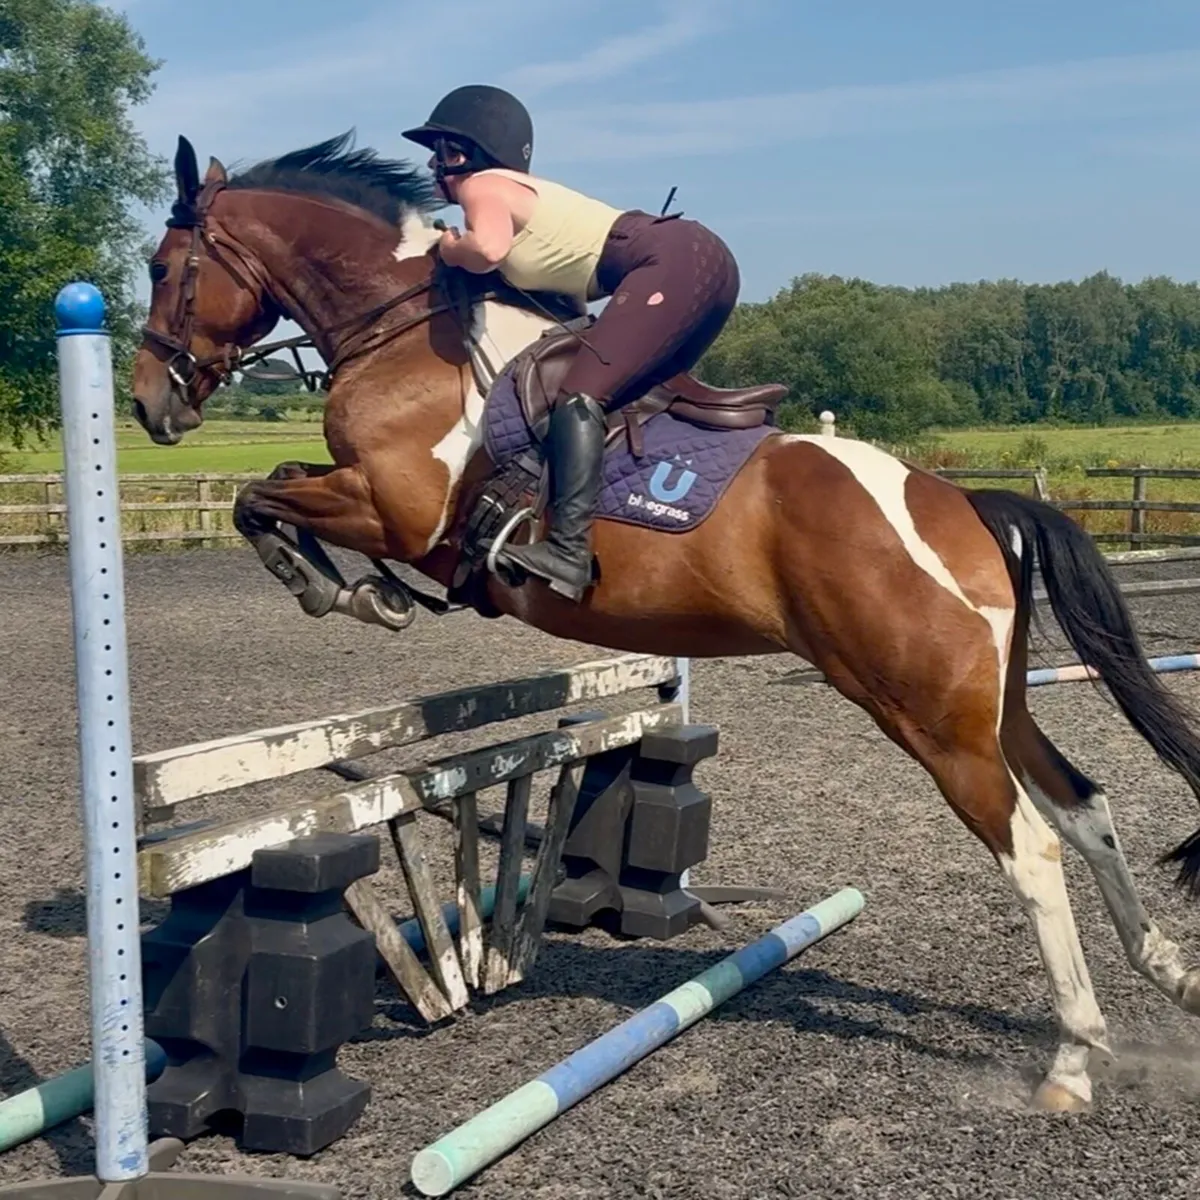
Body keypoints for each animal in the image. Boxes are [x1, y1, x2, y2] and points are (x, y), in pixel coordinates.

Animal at [132, 132, 1200, 1114]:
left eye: (162, 268)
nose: (148, 406)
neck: (402, 333)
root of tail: (966, 506)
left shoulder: (400, 513)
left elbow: (261, 497)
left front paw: (339, 588)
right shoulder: (374, 504)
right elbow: (271, 486)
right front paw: (357, 589)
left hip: (932, 717)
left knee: (1034, 846)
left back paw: (1073, 1059)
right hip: (991, 706)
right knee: (1087, 805)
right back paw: (1166, 969)